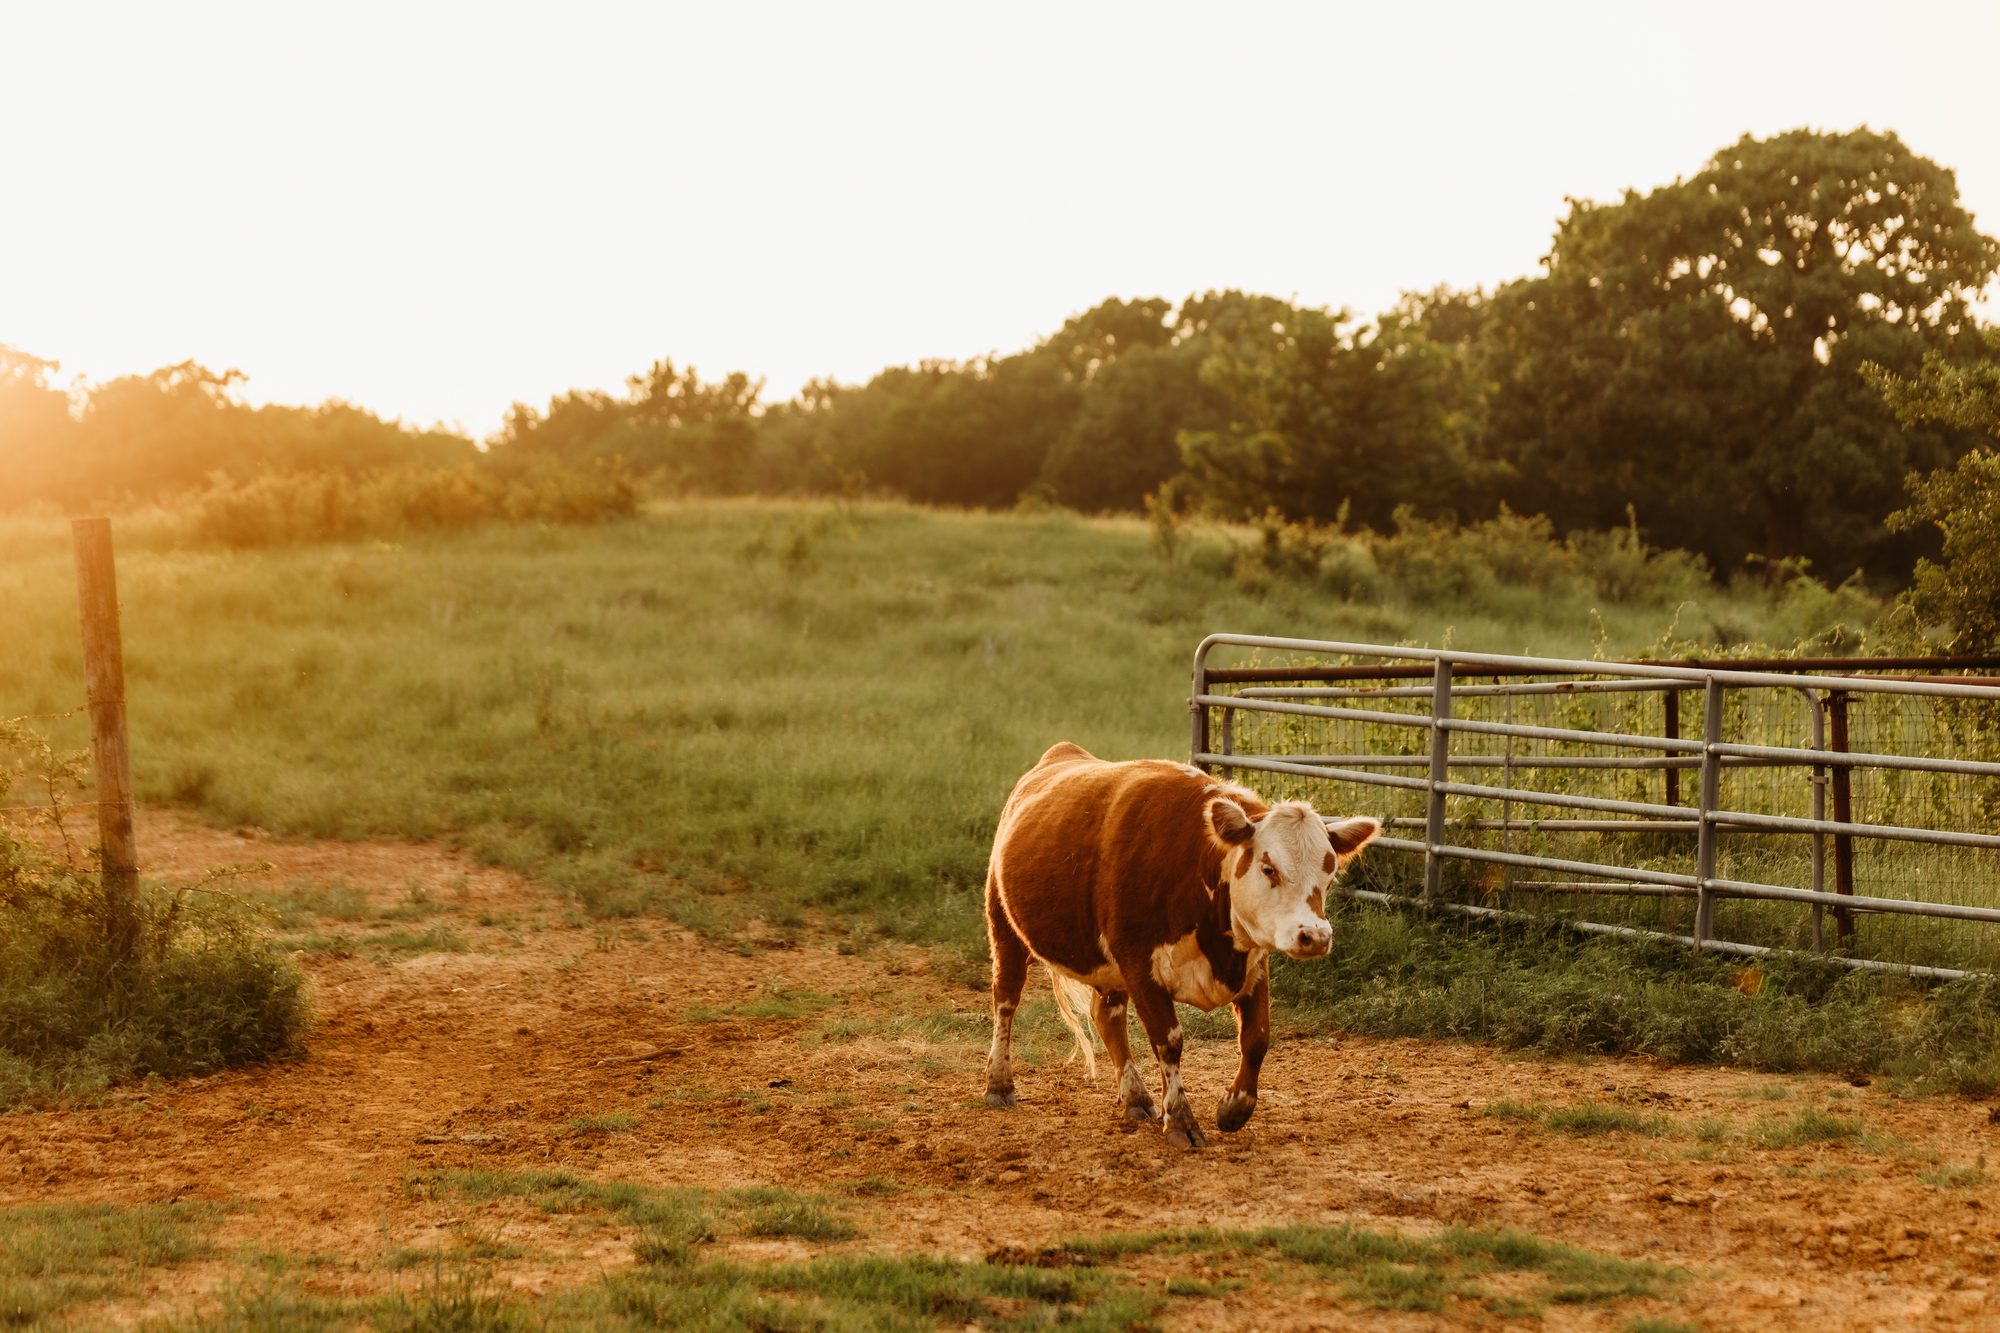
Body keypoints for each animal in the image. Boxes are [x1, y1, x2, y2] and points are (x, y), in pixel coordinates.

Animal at [982, 742, 1380, 1148]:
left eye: (1329, 874)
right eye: (1268, 868)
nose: (1314, 936)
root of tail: (1060, 754)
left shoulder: (1252, 964)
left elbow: (1257, 1037)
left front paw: (1234, 1108)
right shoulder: (1140, 966)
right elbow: (1169, 1041)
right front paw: (1180, 1119)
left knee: (1107, 1017)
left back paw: (1135, 1096)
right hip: (1004, 925)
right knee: (1006, 999)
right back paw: (999, 1083)